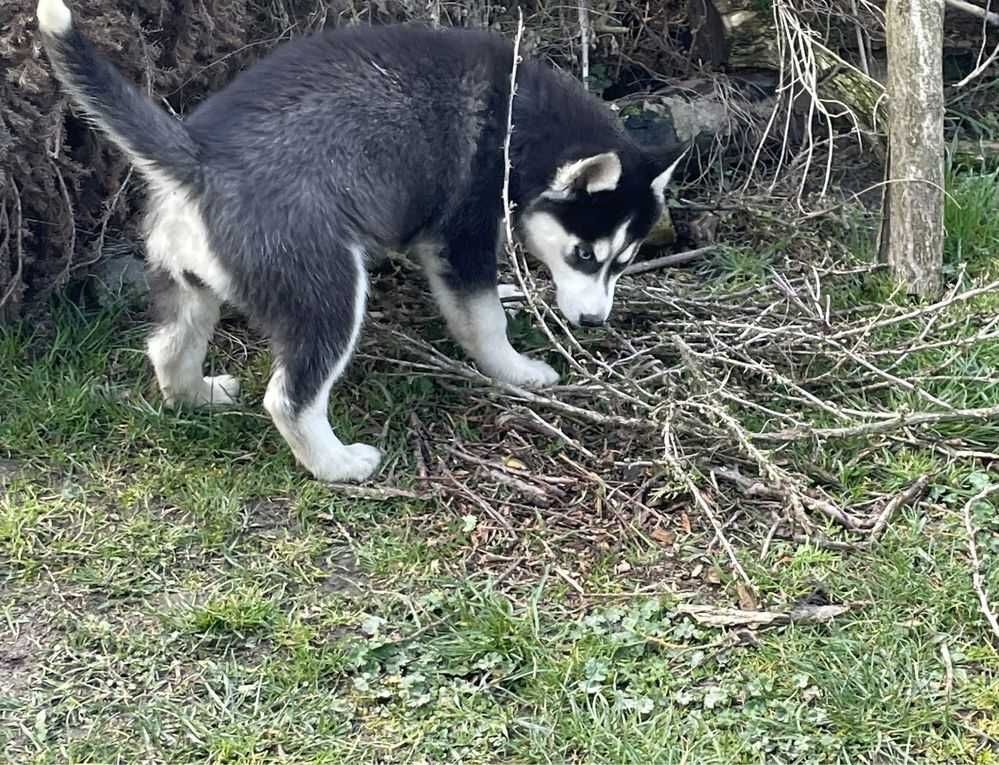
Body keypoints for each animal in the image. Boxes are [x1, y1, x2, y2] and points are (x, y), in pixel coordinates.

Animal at [35, 0, 684, 484]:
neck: (519, 122)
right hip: (326, 290)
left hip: (186, 283)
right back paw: (338, 464)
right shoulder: (460, 233)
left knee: (167, 348)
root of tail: (198, 157)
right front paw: (516, 371)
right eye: (585, 255)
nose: (595, 322)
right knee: (289, 397)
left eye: (623, 263)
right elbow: (483, 320)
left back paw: (199, 397)